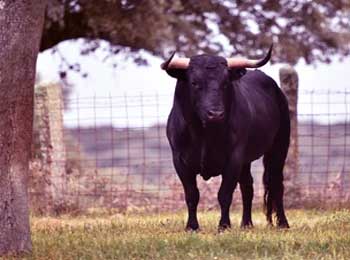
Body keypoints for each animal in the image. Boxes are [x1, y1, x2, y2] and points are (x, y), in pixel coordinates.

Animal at [163, 47, 292, 231]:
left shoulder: (234, 158)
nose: (215, 114)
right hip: (247, 160)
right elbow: (192, 194)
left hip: (280, 147)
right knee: (247, 186)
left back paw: (283, 223)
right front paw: (192, 226)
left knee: (276, 183)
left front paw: (224, 225)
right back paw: (246, 224)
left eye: (225, 84)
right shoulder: (180, 161)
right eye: (194, 83)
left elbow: (224, 194)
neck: (204, 134)